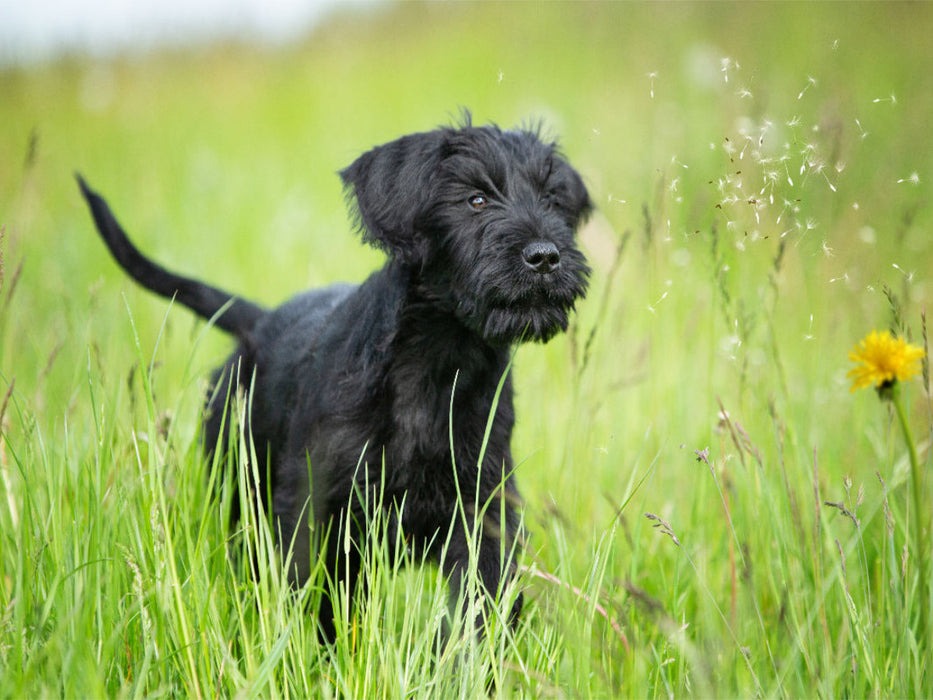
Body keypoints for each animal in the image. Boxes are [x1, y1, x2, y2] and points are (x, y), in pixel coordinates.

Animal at [80, 113, 588, 640]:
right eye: (476, 200)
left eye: (553, 201)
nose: (546, 256)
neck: (439, 359)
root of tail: (258, 321)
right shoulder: (316, 505)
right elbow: (311, 591)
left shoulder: (482, 507)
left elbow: (481, 600)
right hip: (236, 482)